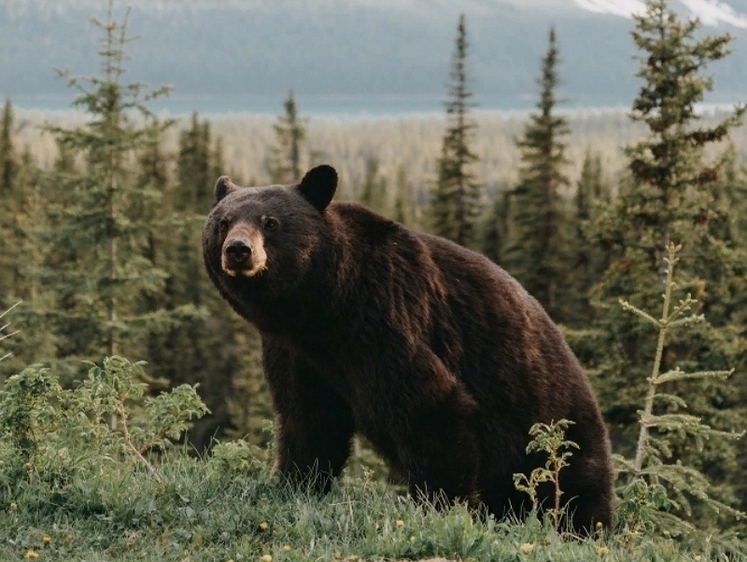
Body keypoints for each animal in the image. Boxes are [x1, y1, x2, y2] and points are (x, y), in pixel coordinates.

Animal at [203, 163, 612, 528]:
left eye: (271, 222)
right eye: (223, 222)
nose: (238, 250)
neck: (323, 308)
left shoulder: (385, 319)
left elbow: (431, 408)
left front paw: (441, 505)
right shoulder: (296, 352)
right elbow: (308, 419)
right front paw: (295, 483)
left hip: (552, 430)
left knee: (576, 490)